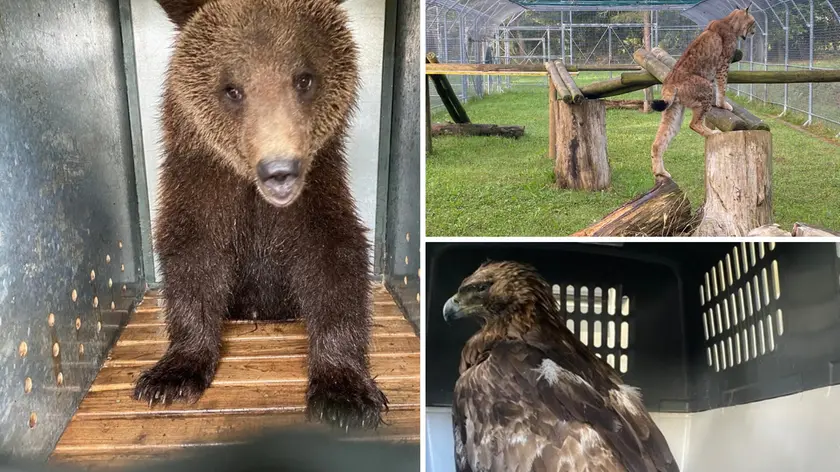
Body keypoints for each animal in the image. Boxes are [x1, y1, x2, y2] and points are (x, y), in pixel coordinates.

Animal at [132, 0, 387, 431]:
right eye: (232, 89)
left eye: (304, 79)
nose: (280, 170)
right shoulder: (203, 181)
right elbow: (193, 256)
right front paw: (171, 377)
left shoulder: (316, 188)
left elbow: (333, 259)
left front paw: (344, 393)